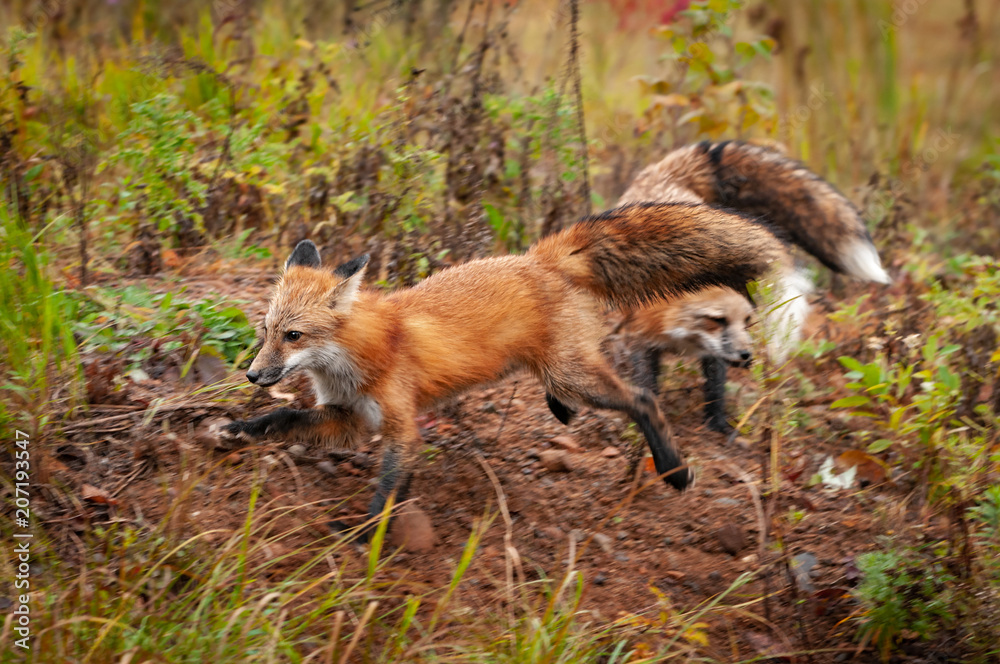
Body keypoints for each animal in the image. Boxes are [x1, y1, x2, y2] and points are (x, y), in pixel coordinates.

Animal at [616, 142, 892, 434]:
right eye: (717, 319)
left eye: (745, 319)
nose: (745, 354)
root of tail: (665, 171)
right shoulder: (639, 340)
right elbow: (647, 386)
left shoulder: (716, 350)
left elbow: (715, 388)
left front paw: (718, 423)